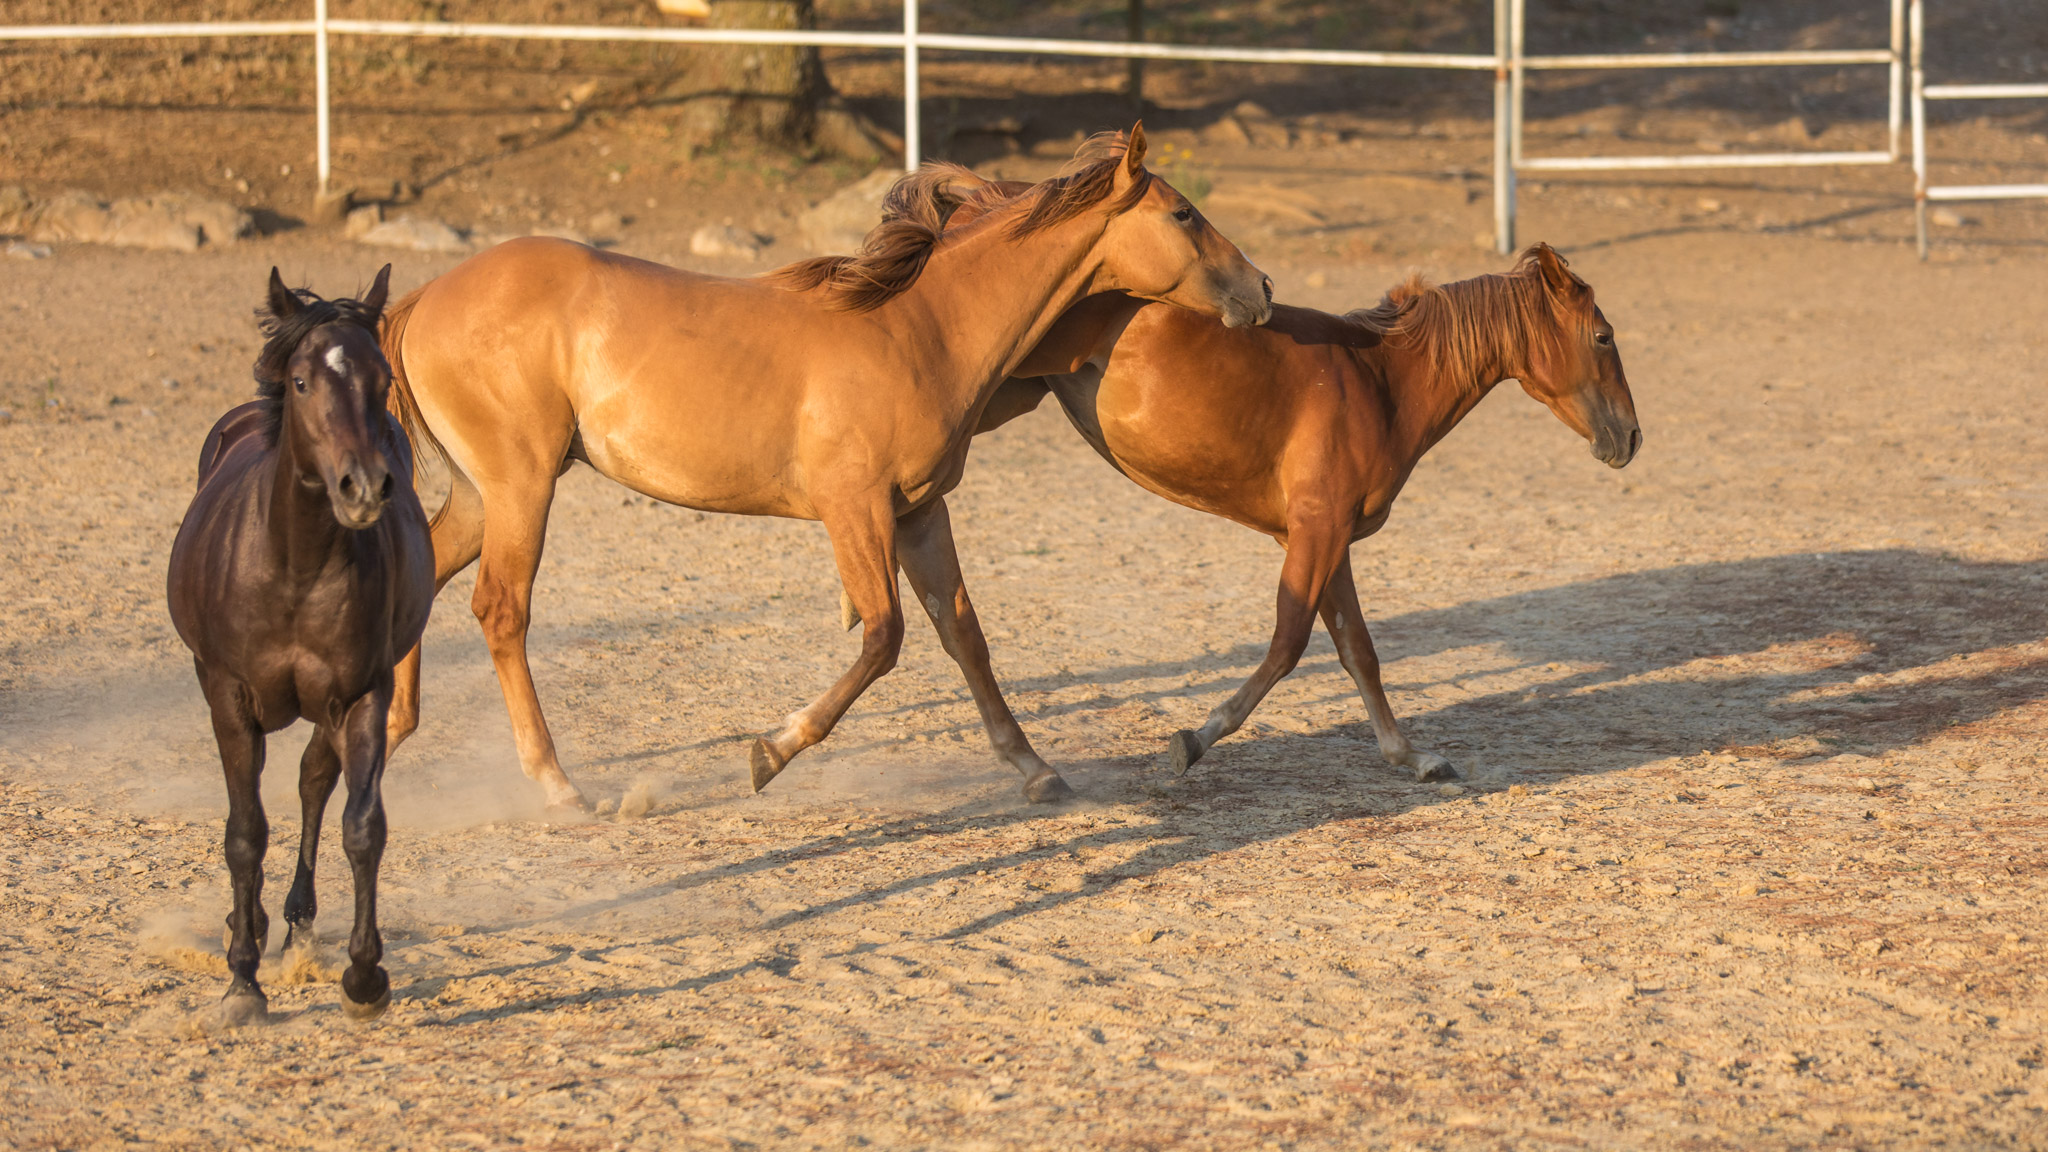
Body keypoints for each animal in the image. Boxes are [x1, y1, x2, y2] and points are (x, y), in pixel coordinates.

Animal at [166, 266, 433, 1024]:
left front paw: (365, 979)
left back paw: (295, 921)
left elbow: (361, 825)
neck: (293, 565)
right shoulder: (227, 694)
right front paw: (242, 983)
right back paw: (250, 924)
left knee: (315, 781)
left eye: (380, 380)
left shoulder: (362, 693)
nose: (364, 487)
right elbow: (245, 832)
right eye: (305, 381)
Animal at [379, 125, 1273, 808]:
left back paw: (388, 734)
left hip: (482, 494)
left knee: (423, 575)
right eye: (1184, 213)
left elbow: (964, 635)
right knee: (501, 610)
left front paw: (1037, 770)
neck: (919, 326)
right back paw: (559, 784)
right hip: (521, 487)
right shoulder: (855, 510)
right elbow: (883, 636)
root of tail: (424, 299)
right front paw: (770, 752)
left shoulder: (919, 513)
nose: (1261, 289)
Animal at [942, 242, 1641, 780]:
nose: (1631, 438)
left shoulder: (1328, 537)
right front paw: (1195, 740)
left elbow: (1358, 649)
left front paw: (1410, 756)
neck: (1379, 381)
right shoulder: (1315, 530)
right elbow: (1289, 642)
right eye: (1603, 336)